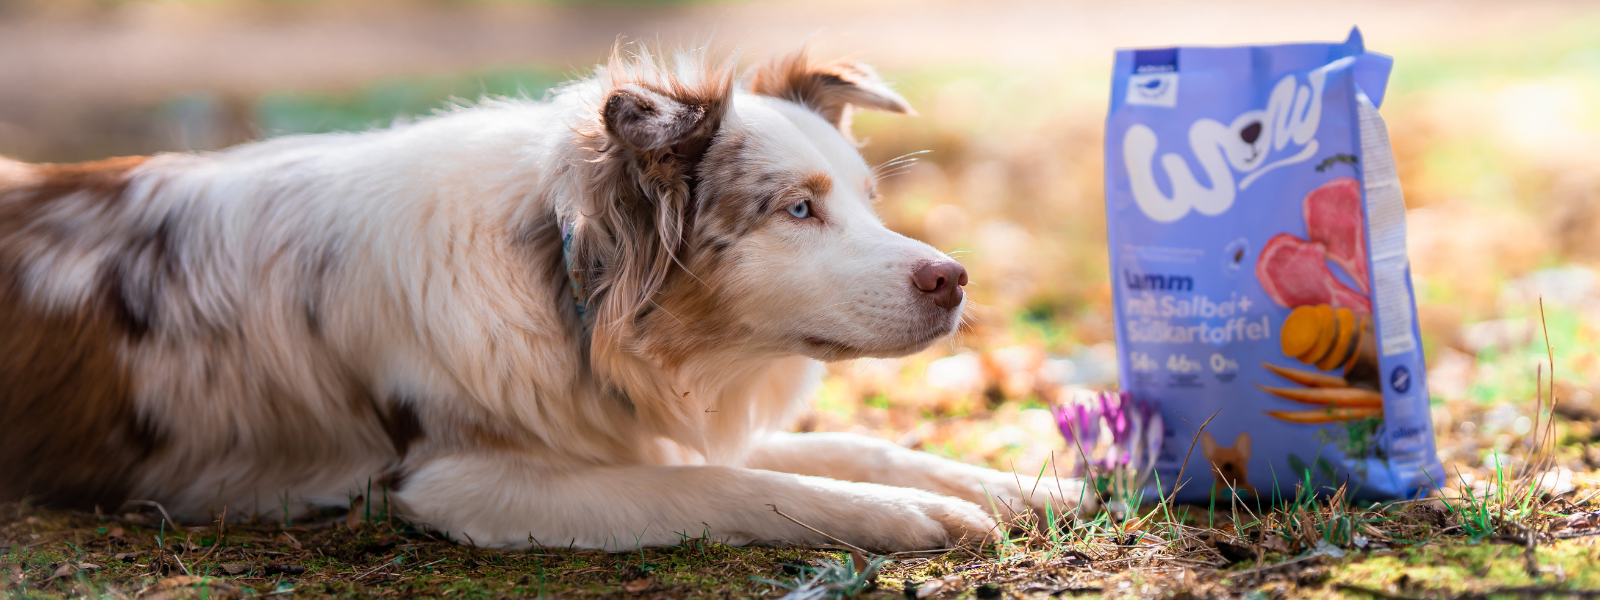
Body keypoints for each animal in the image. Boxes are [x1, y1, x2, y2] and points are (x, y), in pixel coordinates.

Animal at [0, 49, 1088, 553]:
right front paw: (913, 516)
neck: (562, 284)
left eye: (866, 201)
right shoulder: (459, 482)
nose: (953, 278)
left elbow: (854, 444)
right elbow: (717, 485)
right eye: (796, 210)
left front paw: (1027, 486)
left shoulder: (615, 418)